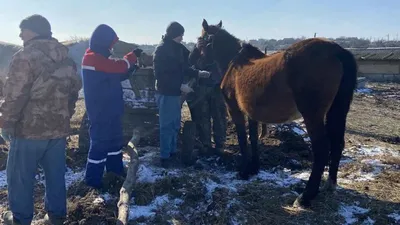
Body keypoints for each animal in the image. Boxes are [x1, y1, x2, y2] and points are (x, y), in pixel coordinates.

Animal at [198, 19, 358, 207]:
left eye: (200, 41)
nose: (196, 64)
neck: (235, 64)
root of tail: (336, 50)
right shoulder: (251, 113)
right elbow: (253, 138)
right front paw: (253, 169)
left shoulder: (235, 110)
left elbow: (243, 139)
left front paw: (244, 170)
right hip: (336, 111)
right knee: (337, 144)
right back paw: (329, 185)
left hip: (312, 115)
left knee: (321, 149)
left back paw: (305, 197)